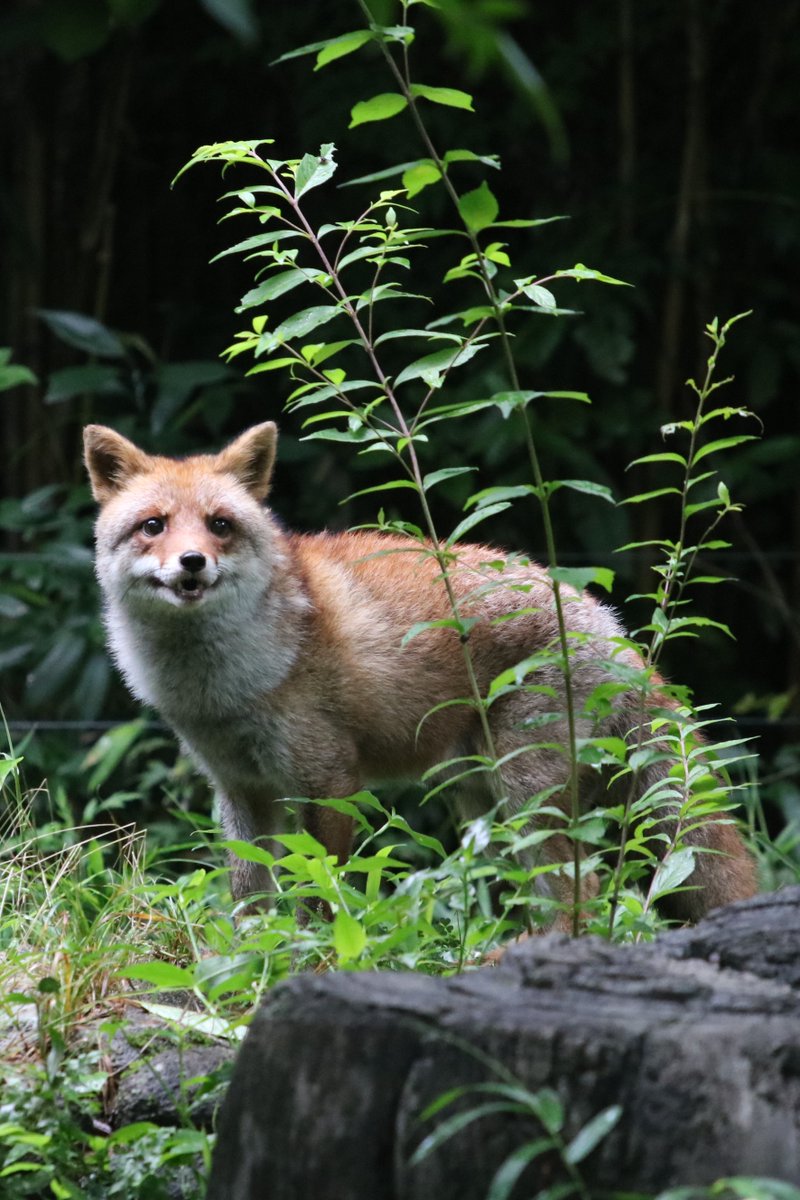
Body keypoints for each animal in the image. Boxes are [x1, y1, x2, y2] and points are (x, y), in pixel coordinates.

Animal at [83, 421, 757, 927]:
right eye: (153, 526)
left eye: (219, 525)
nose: (192, 562)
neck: (221, 687)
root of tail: (615, 629)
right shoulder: (240, 789)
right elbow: (251, 899)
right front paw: (249, 963)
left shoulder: (330, 778)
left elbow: (321, 897)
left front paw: (310, 960)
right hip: (481, 804)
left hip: (523, 794)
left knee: (580, 896)